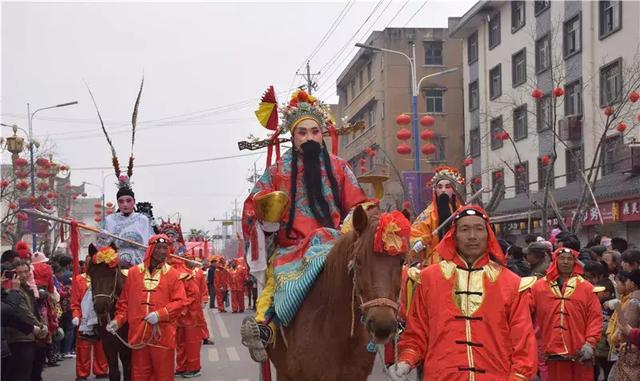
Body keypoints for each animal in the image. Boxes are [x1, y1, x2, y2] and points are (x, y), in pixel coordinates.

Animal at [85, 243, 132, 380]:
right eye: (92, 273)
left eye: (112, 273)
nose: (101, 306)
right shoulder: (108, 343)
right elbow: (114, 373)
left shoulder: (127, 344)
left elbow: (128, 370)